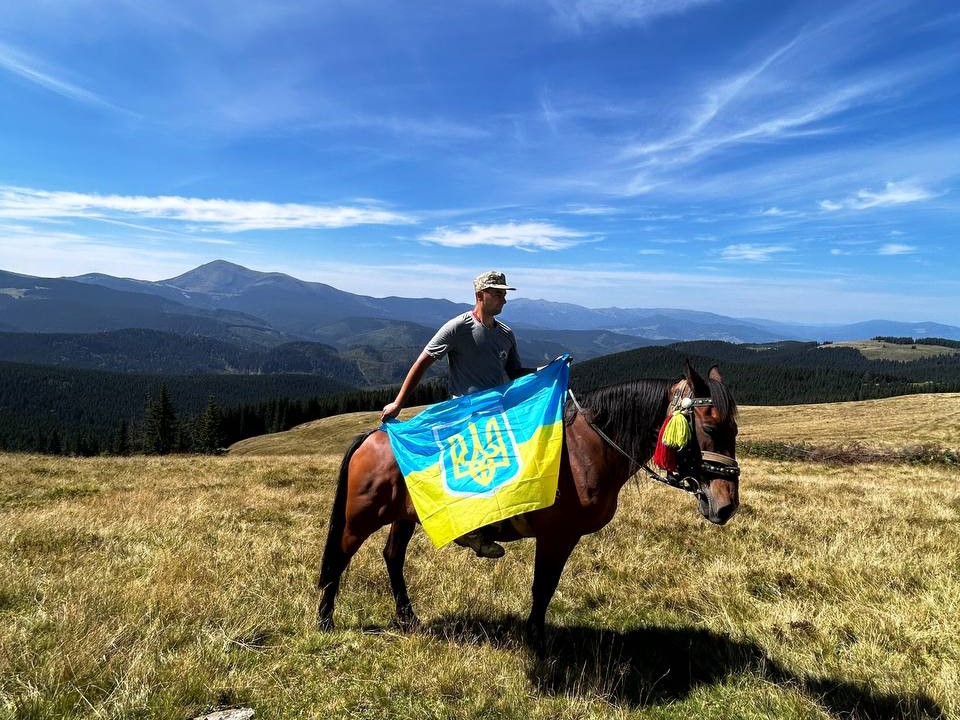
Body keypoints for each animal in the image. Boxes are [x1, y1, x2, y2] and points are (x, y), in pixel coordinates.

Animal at [318, 362, 740, 644]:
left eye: (735, 429)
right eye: (710, 427)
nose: (726, 506)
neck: (588, 451)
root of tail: (376, 435)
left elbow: (545, 587)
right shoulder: (556, 536)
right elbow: (544, 587)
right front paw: (535, 637)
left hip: (405, 517)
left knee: (392, 556)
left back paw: (408, 618)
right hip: (361, 516)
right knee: (339, 557)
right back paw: (325, 622)